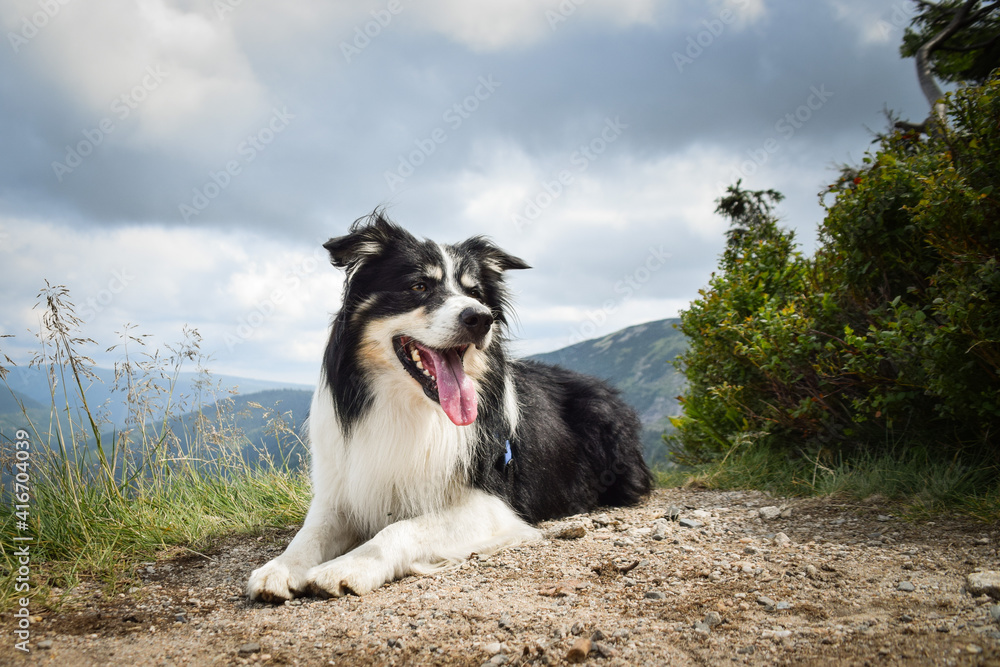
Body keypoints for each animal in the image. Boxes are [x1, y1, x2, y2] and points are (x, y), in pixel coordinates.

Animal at [249, 215, 652, 604]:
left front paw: (347, 567)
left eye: (475, 293)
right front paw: (280, 568)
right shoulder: (342, 489)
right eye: (419, 287)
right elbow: (310, 533)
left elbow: (400, 528)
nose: (481, 318)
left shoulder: (495, 505)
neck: (410, 409)